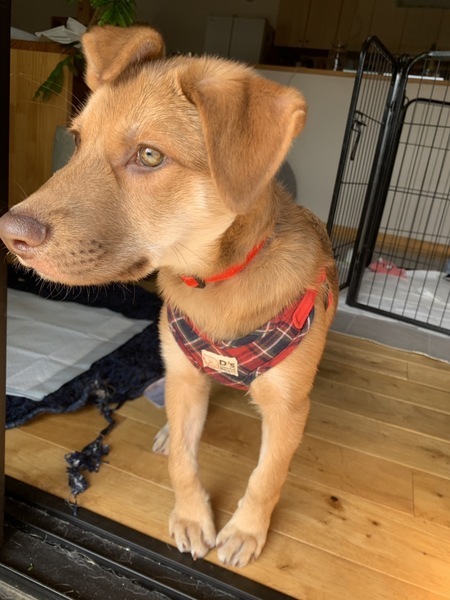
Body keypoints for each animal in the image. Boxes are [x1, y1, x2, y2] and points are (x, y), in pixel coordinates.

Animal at [0, 25, 338, 567]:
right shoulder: (182, 375)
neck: (216, 287)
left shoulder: (288, 406)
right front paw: (192, 517)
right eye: (76, 140)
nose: (9, 235)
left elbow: (267, 475)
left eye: (149, 156)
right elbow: (183, 457)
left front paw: (246, 531)